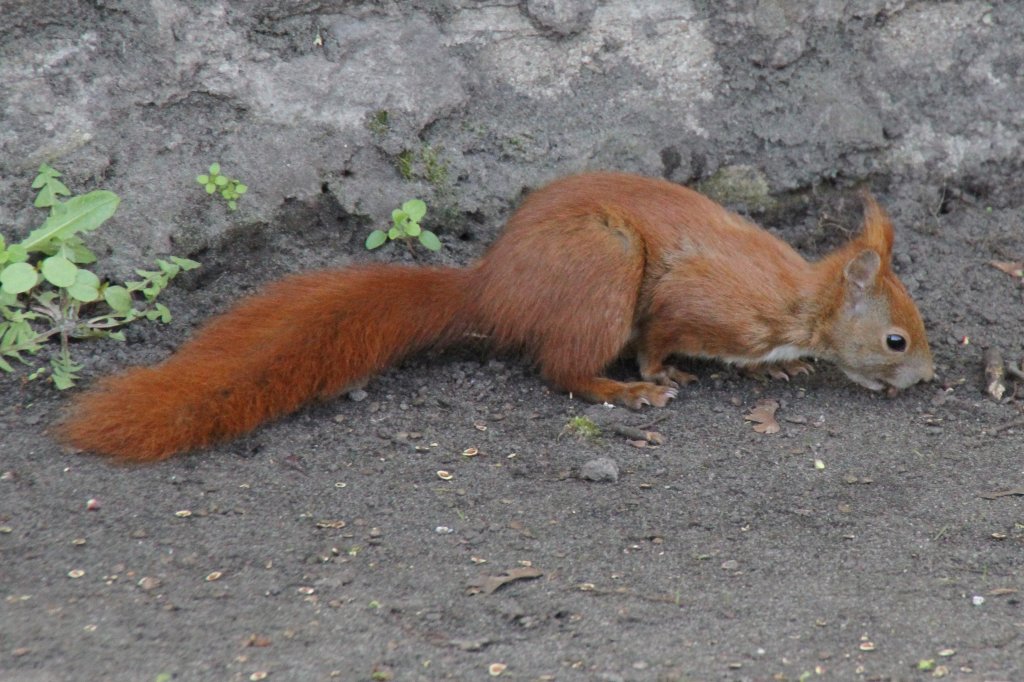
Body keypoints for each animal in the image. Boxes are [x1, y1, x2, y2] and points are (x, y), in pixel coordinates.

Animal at [56, 169, 937, 458]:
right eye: (896, 338)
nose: (929, 378)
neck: (800, 299)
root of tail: (491, 288)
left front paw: (786, 369)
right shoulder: (699, 302)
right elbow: (661, 333)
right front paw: (661, 375)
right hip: (604, 273)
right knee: (563, 369)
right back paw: (624, 393)